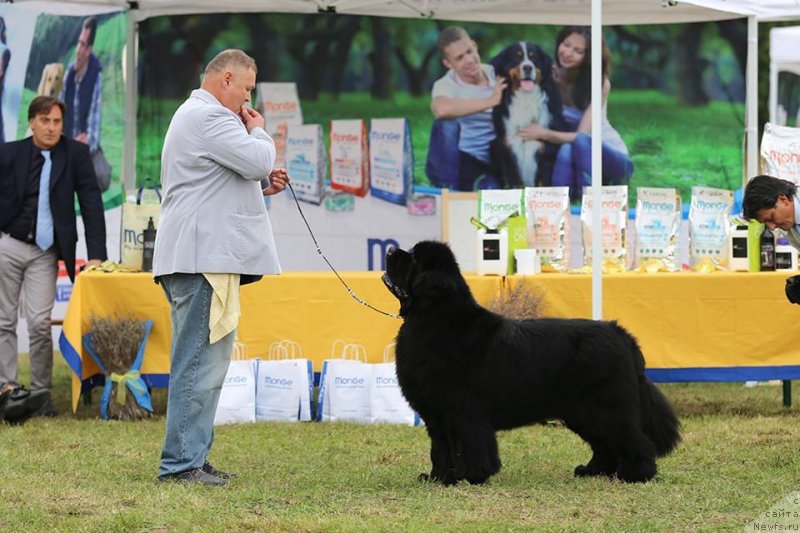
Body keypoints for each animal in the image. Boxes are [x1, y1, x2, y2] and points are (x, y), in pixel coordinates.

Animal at [382, 241, 680, 486]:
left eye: (414, 258)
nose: (390, 250)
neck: (436, 320)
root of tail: (620, 333)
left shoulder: (464, 411)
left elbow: (468, 445)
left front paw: (471, 476)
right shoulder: (438, 416)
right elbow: (441, 449)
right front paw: (438, 478)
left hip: (606, 405)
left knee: (633, 439)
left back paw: (636, 474)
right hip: (582, 411)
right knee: (604, 444)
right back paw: (592, 471)